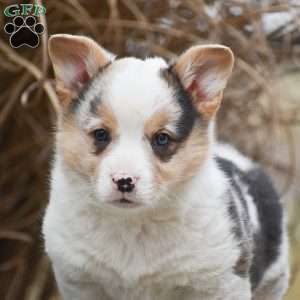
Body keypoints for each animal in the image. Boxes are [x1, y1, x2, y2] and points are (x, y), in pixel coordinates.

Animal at [42, 34, 288, 298]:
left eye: (162, 138)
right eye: (100, 134)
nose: (124, 181)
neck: (133, 223)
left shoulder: (222, 284)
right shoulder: (80, 283)